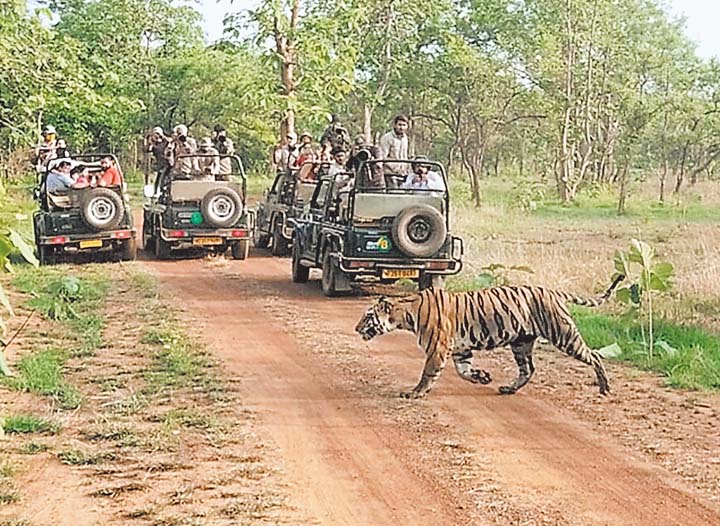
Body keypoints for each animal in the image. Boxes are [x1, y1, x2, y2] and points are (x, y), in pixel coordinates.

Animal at [354, 276, 624, 400]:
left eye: (367, 317)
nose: (356, 329)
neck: (405, 314)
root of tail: (553, 290)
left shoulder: (438, 348)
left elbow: (427, 373)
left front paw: (415, 393)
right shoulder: (459, 349)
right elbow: (463, 371)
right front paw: (482, 377)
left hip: (563, 334)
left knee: (595, 355)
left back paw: (604, 387)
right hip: (521, 342)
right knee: (528, 369)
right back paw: (508, 388)